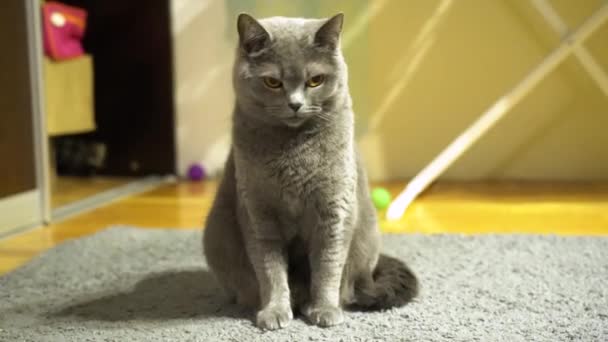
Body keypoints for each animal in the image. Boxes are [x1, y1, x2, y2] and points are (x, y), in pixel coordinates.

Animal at [204, 12, 418, 330]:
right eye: (272, 82)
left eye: (315, 80)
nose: (295, 104)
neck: (294, 154)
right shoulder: (258, 213)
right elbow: (270, 271)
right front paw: (275, 311)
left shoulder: (334, 209)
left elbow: (328, 266)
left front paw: (324, 310)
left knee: (348, 284)